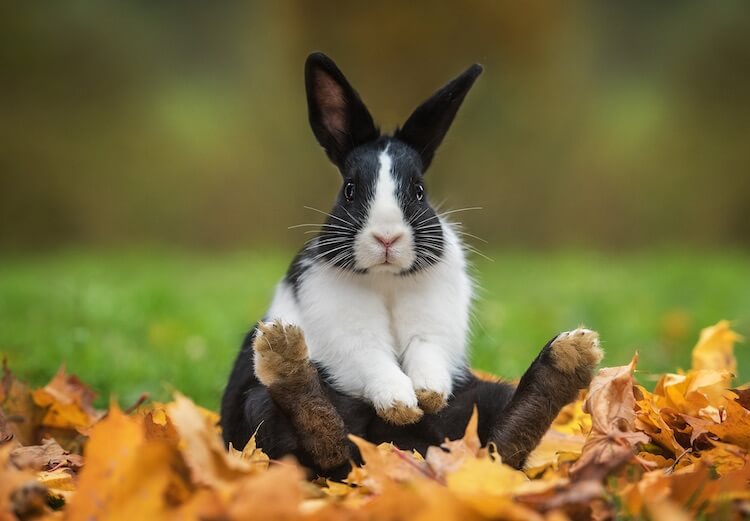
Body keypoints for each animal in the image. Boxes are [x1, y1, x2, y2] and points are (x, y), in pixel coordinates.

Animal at [220, 52, 603, 478]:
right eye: (350, 190)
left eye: (419, 191)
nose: (387, 238)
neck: (387, 280)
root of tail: (404, 451)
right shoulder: (347, 331)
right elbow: (372, 357)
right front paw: (401, 405)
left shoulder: (433, 326)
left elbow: (425, 351)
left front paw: (427, 395)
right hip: (259, 407)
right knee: (322, 443)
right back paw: (286, 356)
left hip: (481, 399)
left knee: (500, 446)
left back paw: (567, 360)